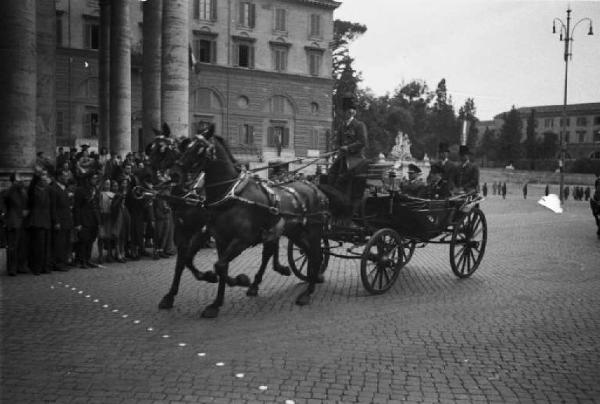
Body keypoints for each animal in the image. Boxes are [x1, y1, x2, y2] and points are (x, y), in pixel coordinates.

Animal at [178, 128, 330, 318]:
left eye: (200, 147)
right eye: (188, 145)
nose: (179, 165)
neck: (231, 195)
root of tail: (316, 189)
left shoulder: (243, 240)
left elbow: (220, 266)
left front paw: (240, 280)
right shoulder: (220, 239)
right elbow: (217, 266)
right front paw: (216, 302)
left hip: (314, 231)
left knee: (316, 255)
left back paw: (307, 293)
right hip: (295, 232)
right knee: (310, 254)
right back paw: (310, 280)